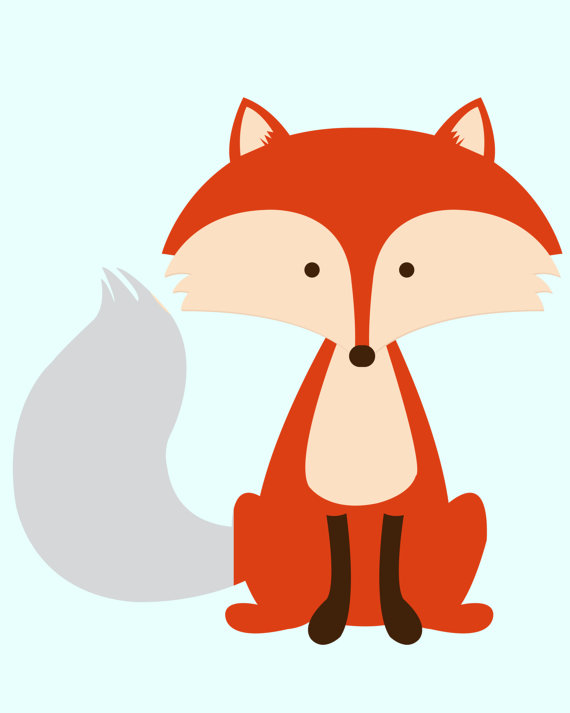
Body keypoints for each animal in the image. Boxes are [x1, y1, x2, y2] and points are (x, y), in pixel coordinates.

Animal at [14, 98, 561, 646]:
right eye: (310, 270)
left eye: (408, 270)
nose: (362, 353)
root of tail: (366, 620)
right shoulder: (324, 501)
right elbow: (339, 558)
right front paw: (326, 622)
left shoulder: (402, 499)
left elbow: (389, 558)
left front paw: (404, 622)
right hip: (251, 512)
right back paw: (268, 618)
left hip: (469, 511)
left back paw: (450, 617)